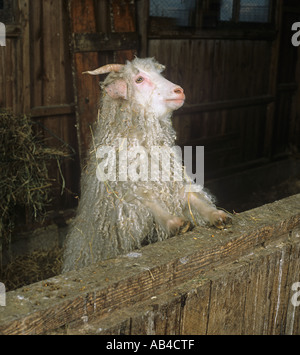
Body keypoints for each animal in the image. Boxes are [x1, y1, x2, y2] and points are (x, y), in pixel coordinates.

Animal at [61, 57, 231, 272]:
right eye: (139, 79)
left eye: (160, 73)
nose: (179, 91)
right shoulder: (127, 194)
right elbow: (149, 201)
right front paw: (175, 223)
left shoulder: (173, 182)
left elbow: (195, 198)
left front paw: (217, 215)